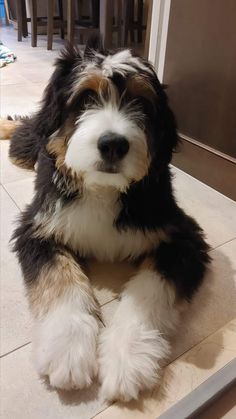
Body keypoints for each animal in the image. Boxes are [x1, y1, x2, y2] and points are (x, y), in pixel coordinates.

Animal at [3, 37, 210, 402]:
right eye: (86, 97)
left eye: (140, 102)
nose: (113, 144)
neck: (102, 188)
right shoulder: (38, 227)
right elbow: (60, 277)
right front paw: (68, 349)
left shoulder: (183, 237)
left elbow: (150, 289)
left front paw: (128, 359)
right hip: (31, 144)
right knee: (27, 130)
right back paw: (6, 126)